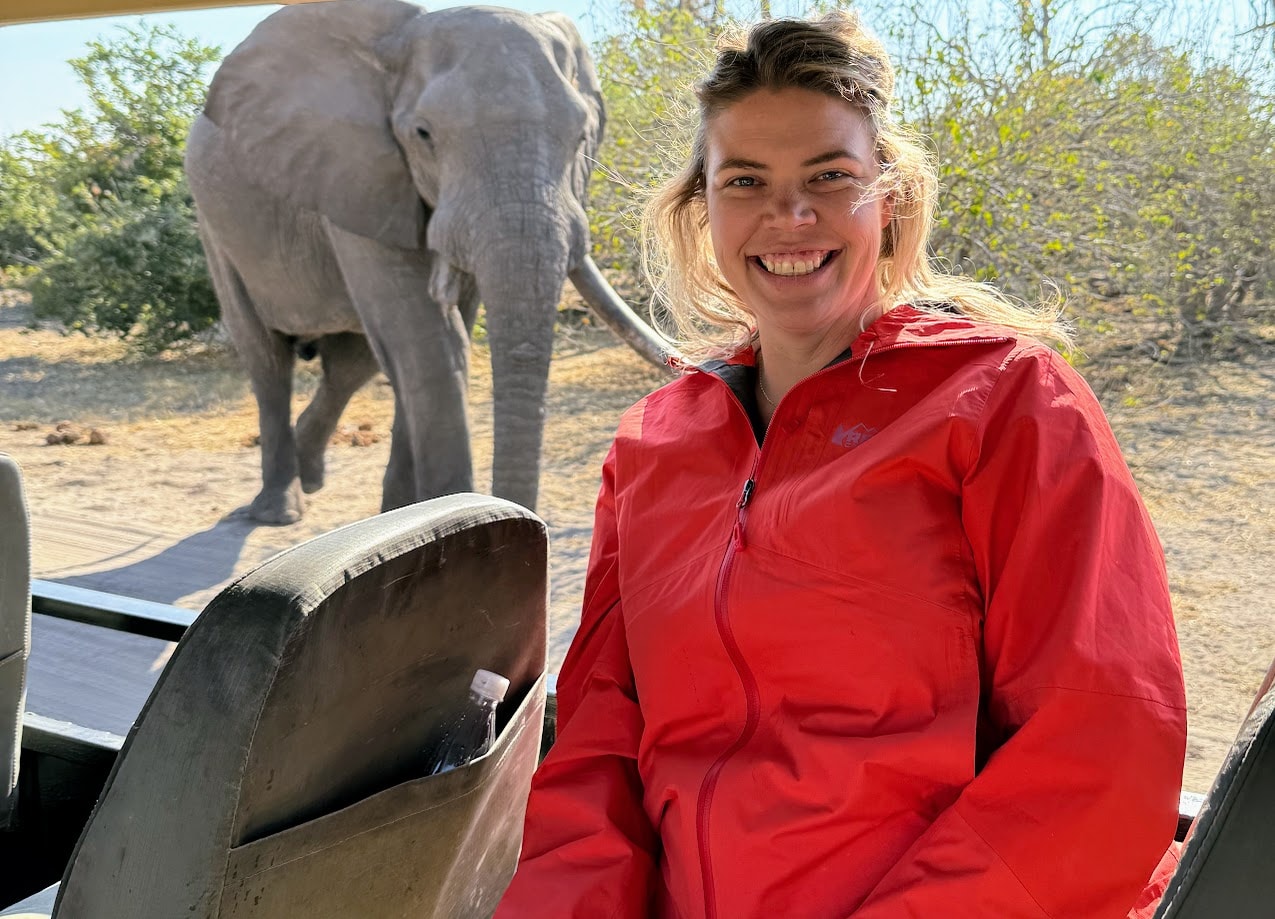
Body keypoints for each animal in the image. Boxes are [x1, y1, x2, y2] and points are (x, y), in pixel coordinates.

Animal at [186, 0, 678, 522]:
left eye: (582, 137)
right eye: (423, 135)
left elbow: (436, 335)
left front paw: (408, 515)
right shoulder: (358, 174)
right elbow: (432, 344)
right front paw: (447, 518)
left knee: (353, 364)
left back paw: (315, 478)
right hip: (214, 226)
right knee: (266, 357)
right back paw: (279, 509)